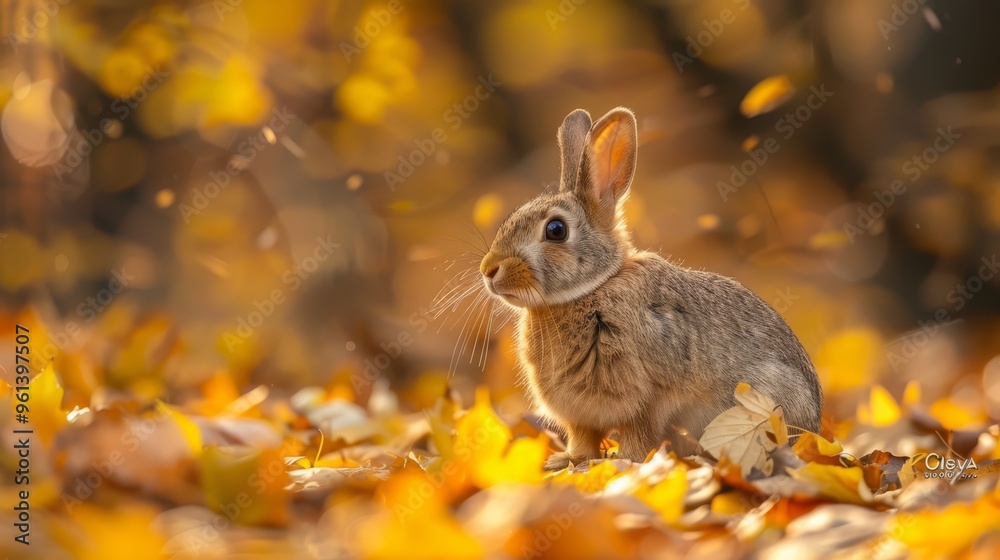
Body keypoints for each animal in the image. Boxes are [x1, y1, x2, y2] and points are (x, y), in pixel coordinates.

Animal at [478, 107, 823, 470]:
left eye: (555, 230)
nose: (488, 270)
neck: (592, 288)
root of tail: (812, 424)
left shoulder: (645, 397)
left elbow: (638, 433)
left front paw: (622, 463)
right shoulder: (579, 415)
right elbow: (582, 439)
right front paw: (566, 461)